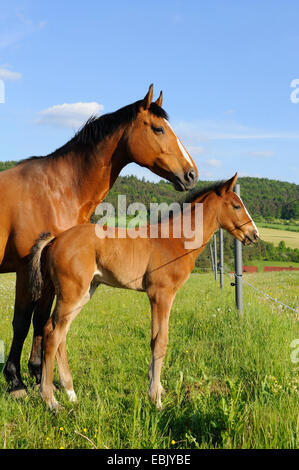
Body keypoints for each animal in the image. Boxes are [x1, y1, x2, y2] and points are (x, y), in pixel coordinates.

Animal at [0, 84, 199, 396]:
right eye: (158, 129)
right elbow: (21, 322)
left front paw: (38, 374)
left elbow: (40, 321)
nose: (191, 174)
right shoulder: (24, 270)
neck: (55, 189)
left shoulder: (47, 275)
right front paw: (16, 381)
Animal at [28, 173, 260, 412]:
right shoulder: (161, 294)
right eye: (236, 205)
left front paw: (157, 388)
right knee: (52, 335)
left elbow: (157, 338)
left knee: (58, 332)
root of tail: (56, 239)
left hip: (84, 293)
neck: (175, 240)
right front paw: (155, 399)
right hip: (71, 293)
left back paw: (71, 393)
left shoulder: (160, 296)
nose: (254, 235)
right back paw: (51, 400)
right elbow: (160, 340)